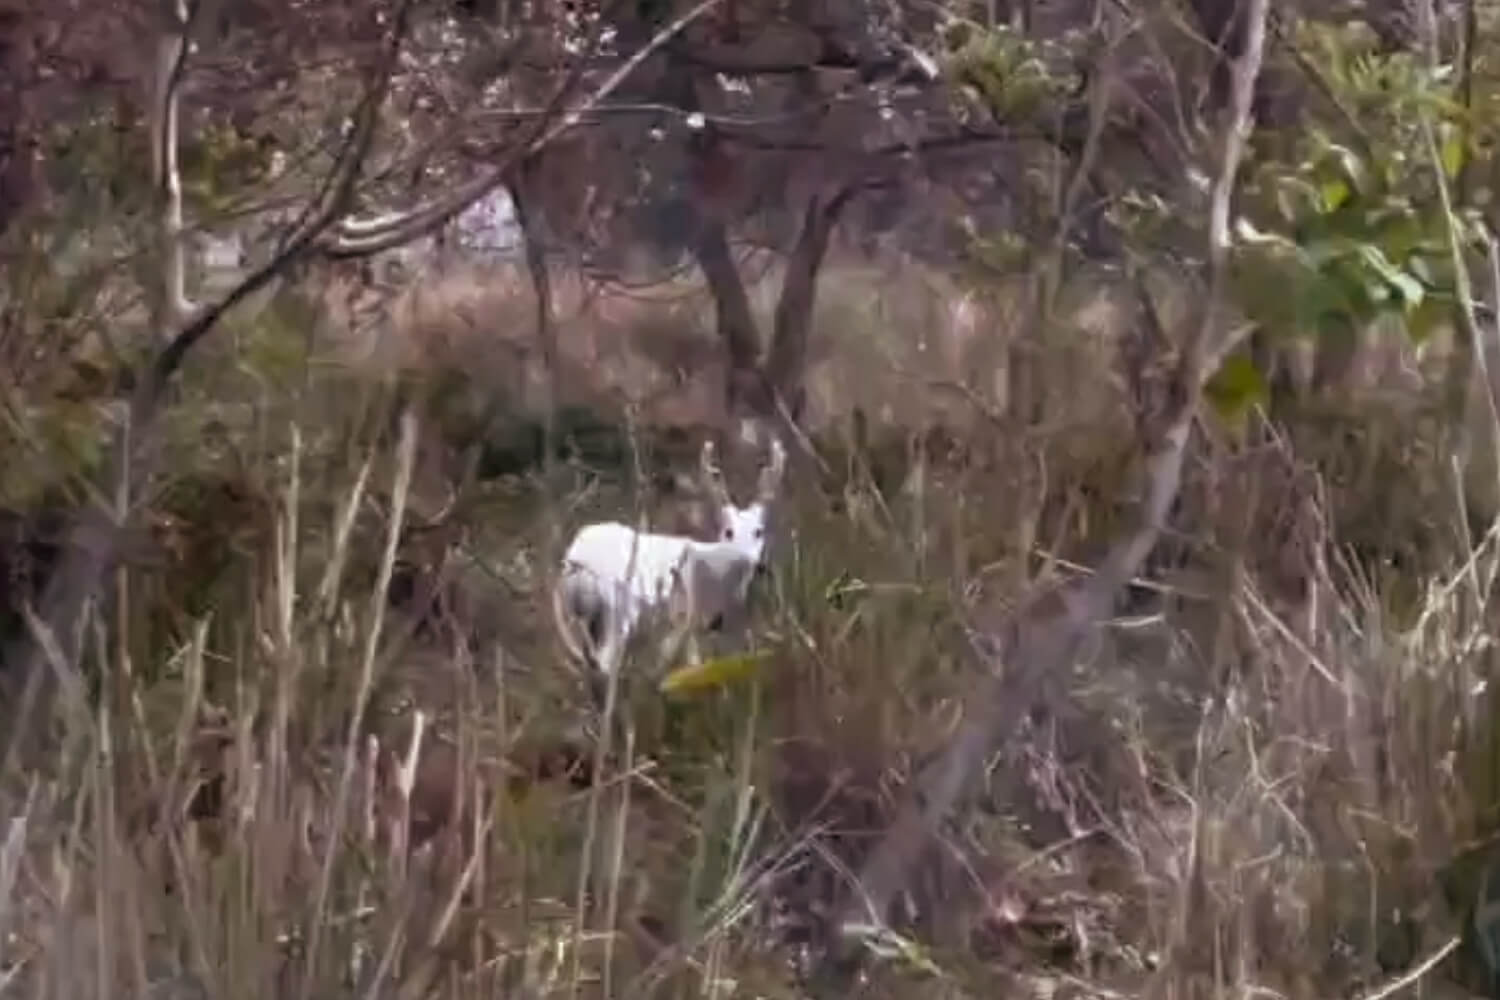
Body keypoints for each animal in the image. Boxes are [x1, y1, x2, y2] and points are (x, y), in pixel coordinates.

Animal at [552, 431, 787, 678]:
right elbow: (693, 664)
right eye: (728, 531)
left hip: (573, 614)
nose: (756, 564)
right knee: (605, 661)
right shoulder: (687, 618)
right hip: (617, 610)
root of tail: (576, 560)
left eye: (759, 531)